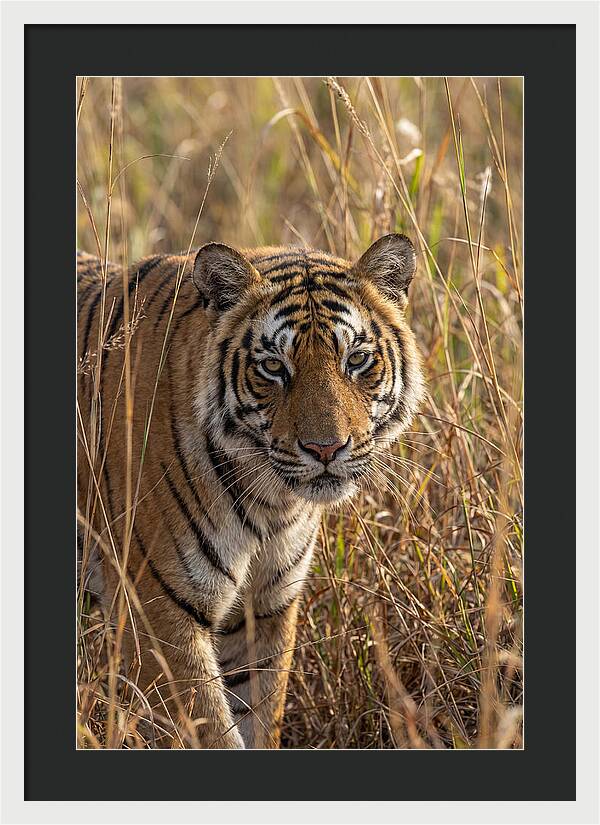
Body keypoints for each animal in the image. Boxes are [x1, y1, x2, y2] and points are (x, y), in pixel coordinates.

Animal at [77, 234, 424, 749]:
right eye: (274, 367)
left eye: (357, 360)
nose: (326, 448)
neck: (271, 503)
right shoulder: (158, 612)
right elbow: (210, 730)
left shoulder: (265, 606)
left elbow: (259, 714)